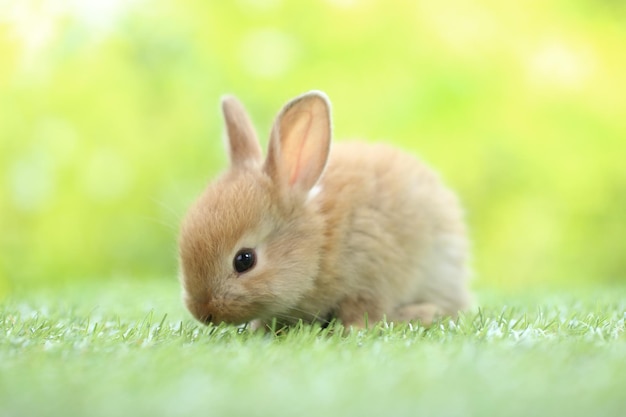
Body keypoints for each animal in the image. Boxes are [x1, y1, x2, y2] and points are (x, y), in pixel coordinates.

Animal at [177, 91, 468, 328]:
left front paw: (352, 328)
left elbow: (364, 311)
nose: (203, 313)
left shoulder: (370, 275)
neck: (321, 242)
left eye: (244, 260)